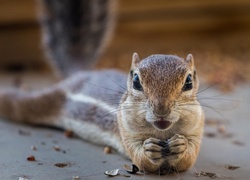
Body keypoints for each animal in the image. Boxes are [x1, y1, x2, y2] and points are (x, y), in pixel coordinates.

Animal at [0, 52, 203, 174]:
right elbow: (139, 159)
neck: (162, 132)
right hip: (43, 102)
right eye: (136, 81)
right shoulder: (125, 129)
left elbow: (189, 159)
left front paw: (181, 146)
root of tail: (82, 74)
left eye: (189, 81)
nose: (162, 110)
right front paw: (148, 149)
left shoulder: (196, 128)